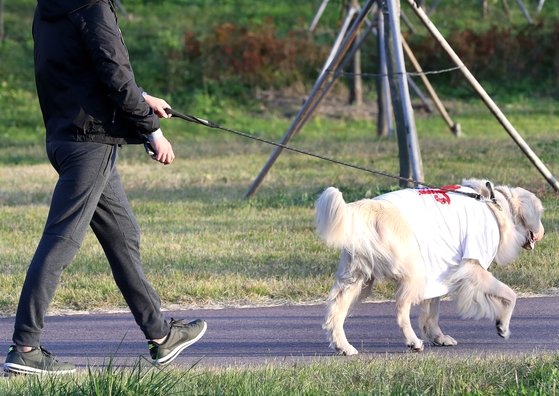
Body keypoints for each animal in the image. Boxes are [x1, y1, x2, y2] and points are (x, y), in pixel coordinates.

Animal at [318, 178, 544, 354]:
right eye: (540, 215)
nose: (543, 232)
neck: (494, 206)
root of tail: (369, 209)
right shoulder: (472, 266)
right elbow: (510, 294)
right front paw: (502, 326)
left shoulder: (440, 270)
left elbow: (432, 311)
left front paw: (438, 337)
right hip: (414, 271)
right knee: (400, 311)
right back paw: (413, 342)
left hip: (357, 278)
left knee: (335, 311)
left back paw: (343, 346)